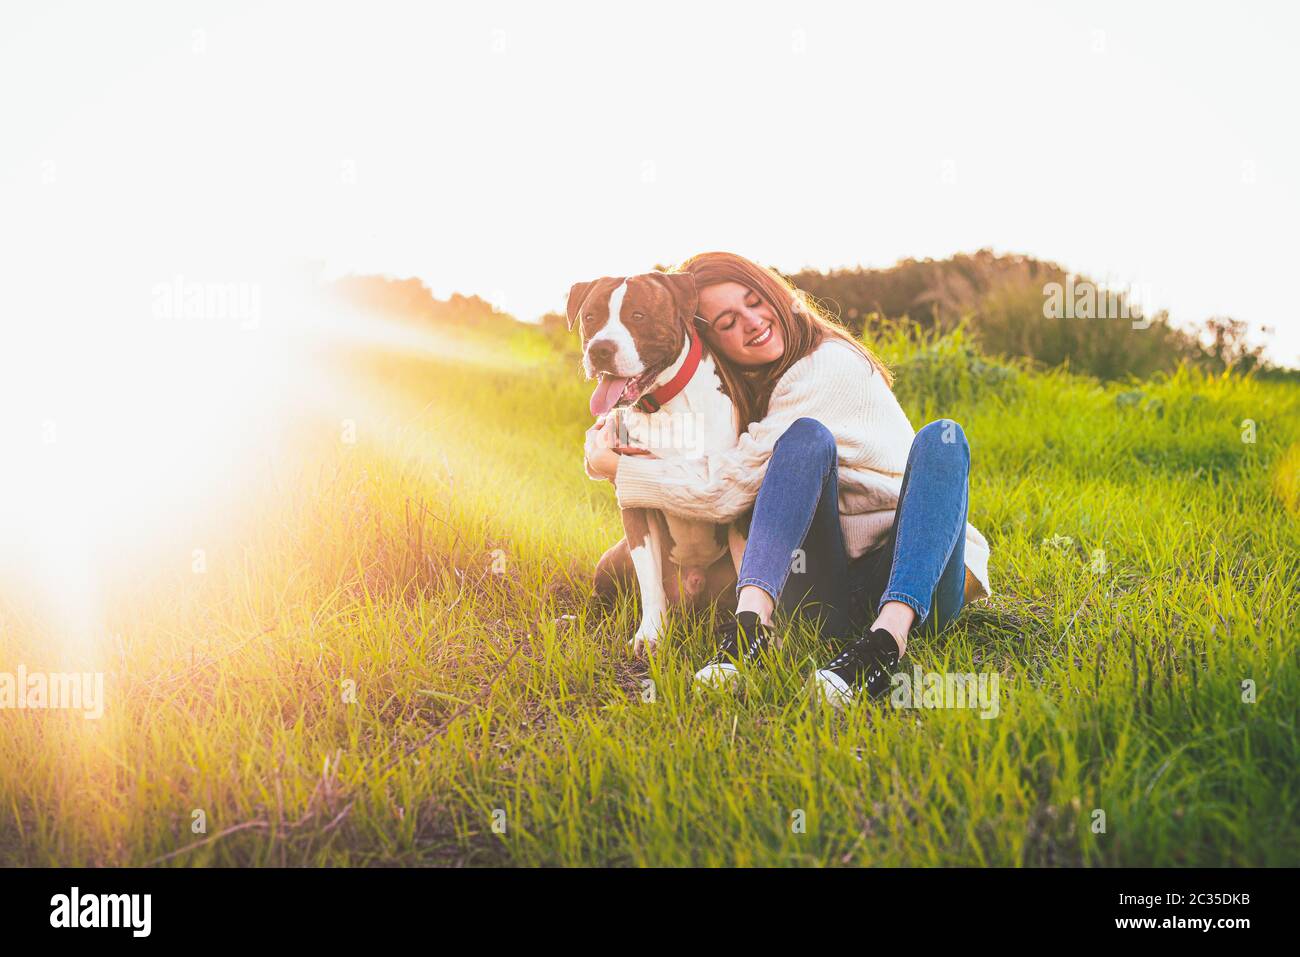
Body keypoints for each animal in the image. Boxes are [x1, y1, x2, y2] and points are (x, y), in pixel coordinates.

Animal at [566, 273, 743, 655]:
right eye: (590, 317)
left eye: (638, 315)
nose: (600, 349)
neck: (665, 405)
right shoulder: (634, 497)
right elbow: (649, 579)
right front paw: (650, 635)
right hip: (613, 557)